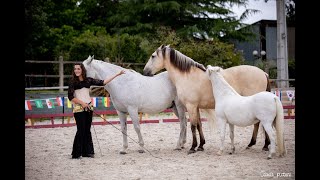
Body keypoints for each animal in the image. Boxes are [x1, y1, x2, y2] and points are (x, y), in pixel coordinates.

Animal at [144, 44, 272, 153]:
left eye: (153, 56)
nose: (145, 72)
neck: (187, 76)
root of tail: (263, 73)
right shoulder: (196, 107)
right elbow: (199, 125)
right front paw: (201, 146)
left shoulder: (191, 106)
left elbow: (193, 126)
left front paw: (192, 147)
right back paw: (258, 144)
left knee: (259, 123)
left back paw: (261, 145)